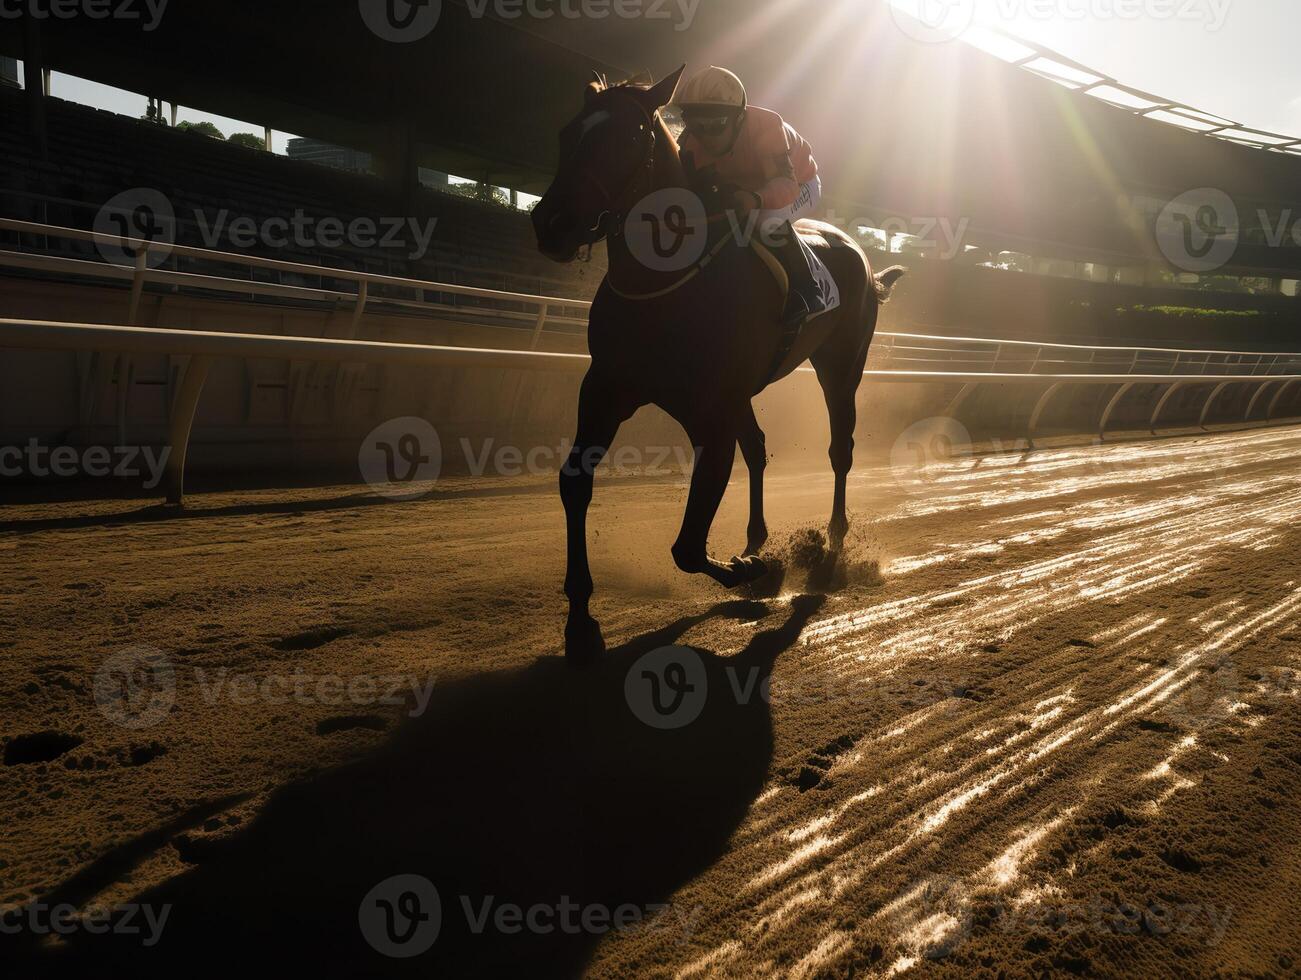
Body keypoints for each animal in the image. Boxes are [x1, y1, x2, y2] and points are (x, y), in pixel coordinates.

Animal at [530, 68, 905, 661]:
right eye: (569, 134)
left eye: (630, 138)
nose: (553, 223)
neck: (663, 287)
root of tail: (859, 255)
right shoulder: (606, 390)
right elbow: (575, 483)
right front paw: (580, 620)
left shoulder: (708, 416)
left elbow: (687, 547)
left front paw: (756, 569)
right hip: (745, 390)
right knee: (757, 447)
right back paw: (756, 534)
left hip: (841, 365)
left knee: (840, 449)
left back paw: (830, 542)